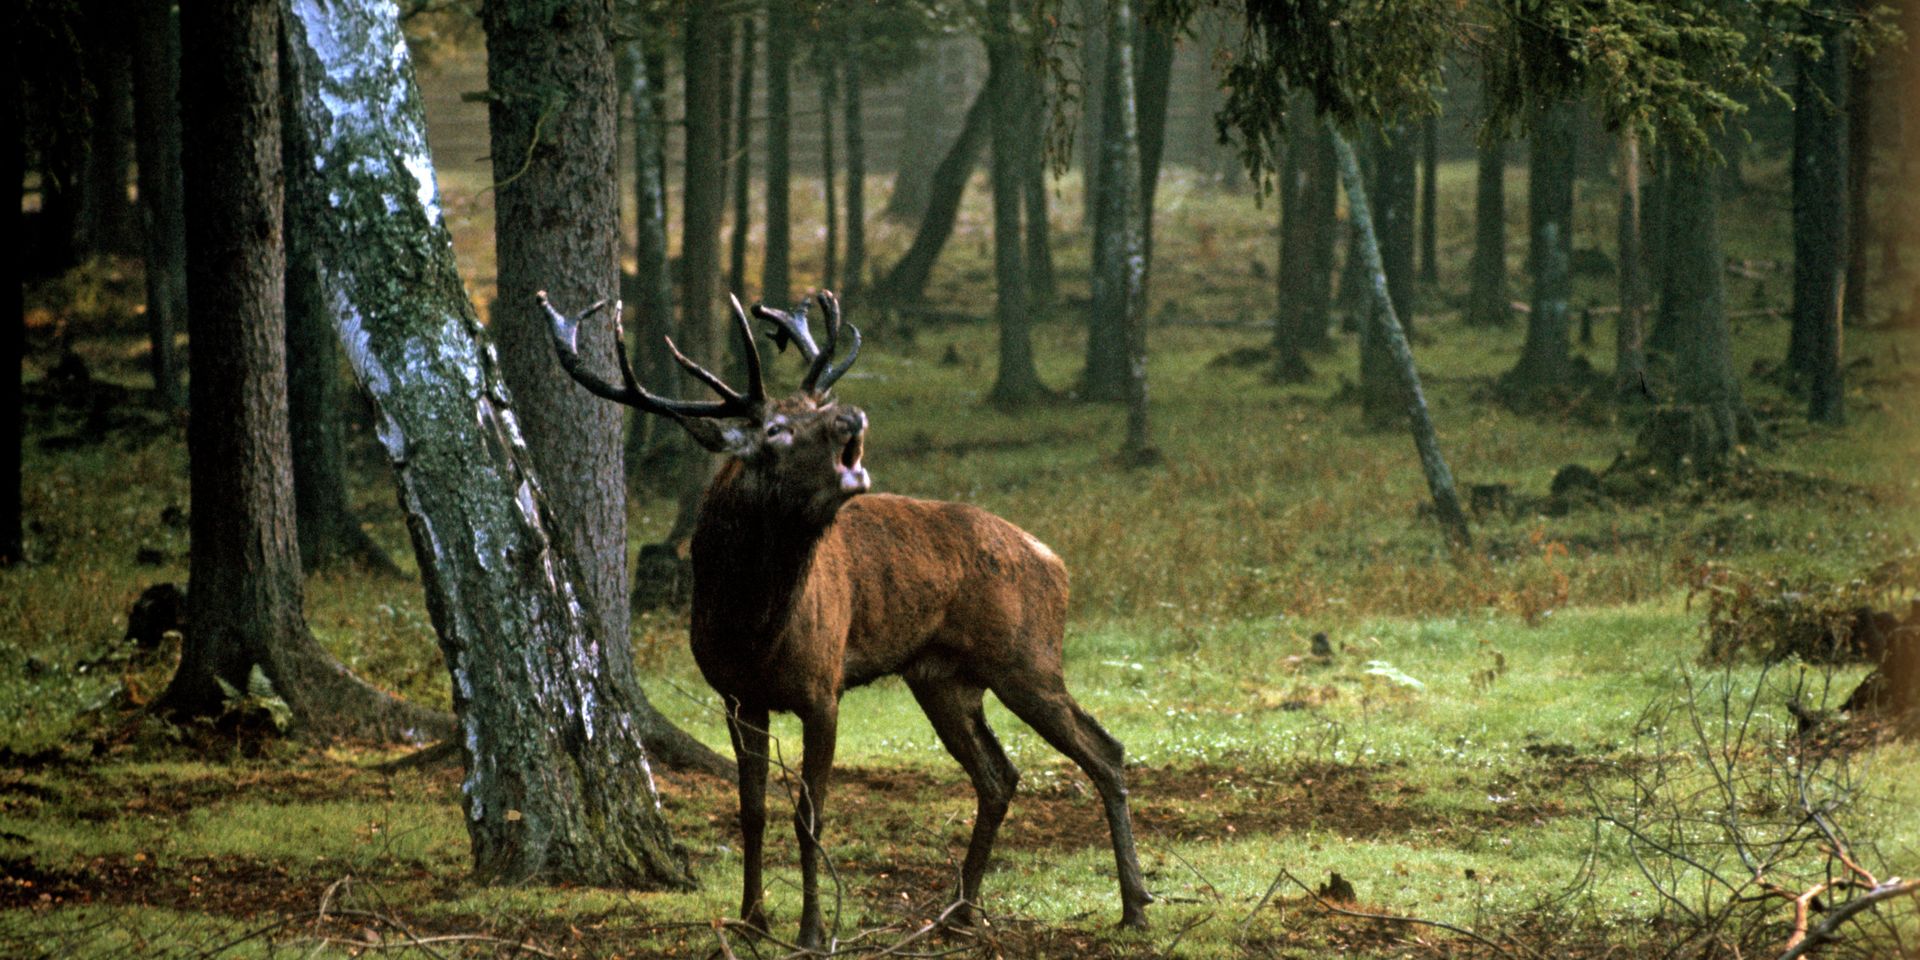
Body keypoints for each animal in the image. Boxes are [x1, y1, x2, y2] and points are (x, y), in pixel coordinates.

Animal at [537, 289, 1151, 949]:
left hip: (1026, 658)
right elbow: (751, 809)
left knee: (1104, 749)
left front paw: (810, 931)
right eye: (775, 429)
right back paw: (959, 913)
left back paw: (1135, 906)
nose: (848, 416)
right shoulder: (736, 695)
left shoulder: (822, 687)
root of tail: (1056, 561)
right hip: (942, 678)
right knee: (999, 775)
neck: (753, 628)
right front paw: (751, 921)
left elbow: (810, 814)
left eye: (818, 406)